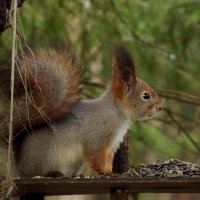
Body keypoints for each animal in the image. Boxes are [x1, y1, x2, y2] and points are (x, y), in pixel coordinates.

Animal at [0, 45, 162, 177]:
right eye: (145, 96)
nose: (160, 107)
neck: (116, 112)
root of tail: (20, 165)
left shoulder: (111, 146)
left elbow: (107, 160)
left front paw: (110, 171)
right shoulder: (96, 138)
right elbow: (96, 156)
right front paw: (106, 172)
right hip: (45, 157)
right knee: (36, 173)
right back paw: (51, 173)